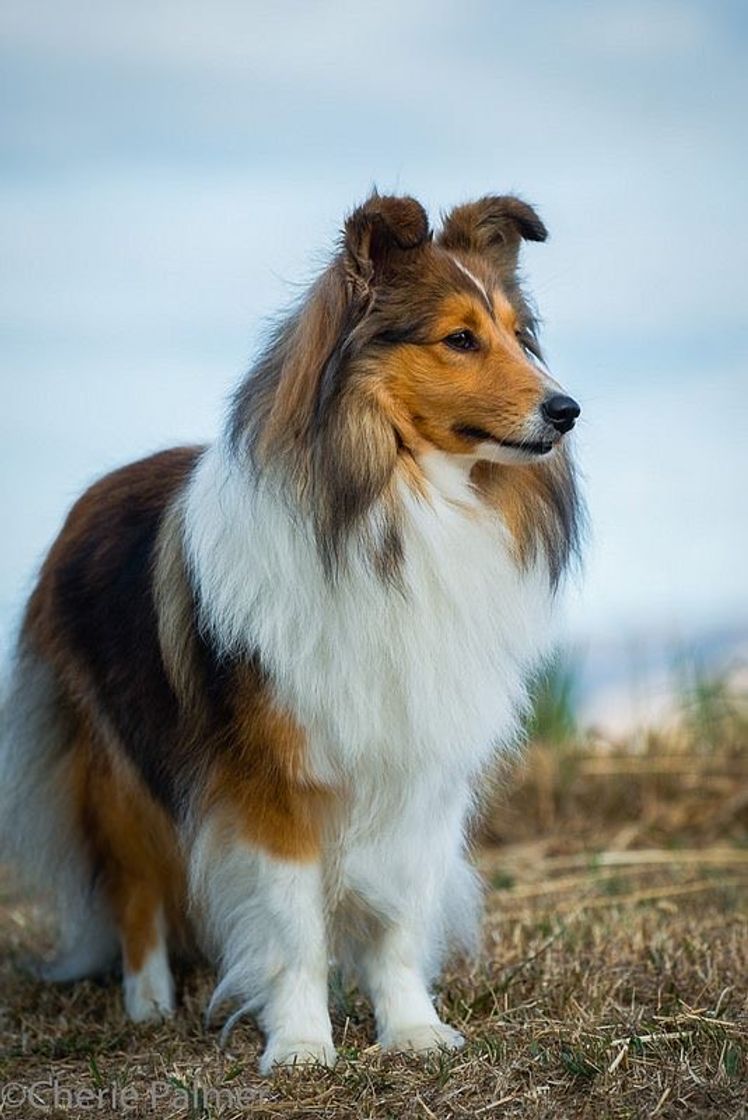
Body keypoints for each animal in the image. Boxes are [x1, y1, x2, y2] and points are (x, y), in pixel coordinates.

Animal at [0, 194, 577, 1075]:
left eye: (519, 333)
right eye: (460, 338)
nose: (567, 410)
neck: (398, 509)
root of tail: (91, 494)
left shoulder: (420, 768)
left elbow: (398, 920)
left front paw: (411, 1031)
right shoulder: (274, 780)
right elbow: (294, 923)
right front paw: (302, 1044)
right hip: (115, 768)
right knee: (136, 890)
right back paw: (148, 1003)